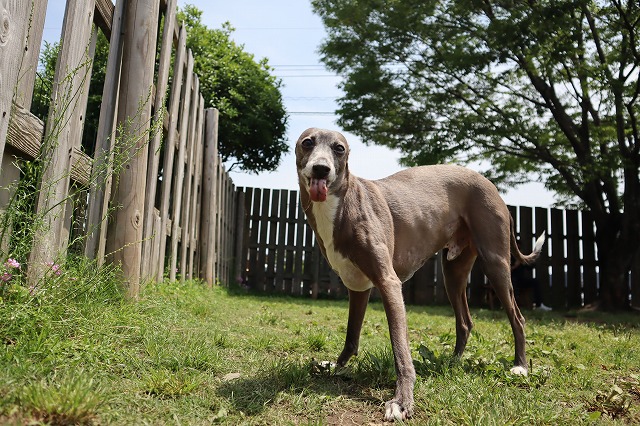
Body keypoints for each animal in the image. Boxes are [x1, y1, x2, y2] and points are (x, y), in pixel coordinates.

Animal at [295, 128, 545, 421]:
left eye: (339, 148)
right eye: (307, 143)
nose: (321, 169)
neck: (342, 202)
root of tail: (491, 186)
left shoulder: (389, 283)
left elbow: (400, 350)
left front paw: (402, 401)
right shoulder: (358, 288)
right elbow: (351, 337)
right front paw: (336, 366)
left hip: (496, 264)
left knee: (517, 317)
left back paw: (520, 366)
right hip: (453, 273)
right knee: (465, 321)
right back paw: (453, 361)